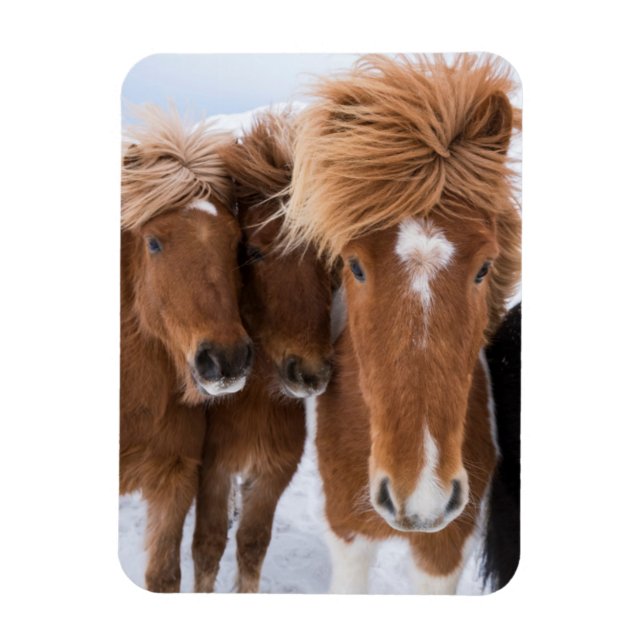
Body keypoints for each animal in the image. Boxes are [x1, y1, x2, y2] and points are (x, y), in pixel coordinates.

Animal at [191, 111, 334, 592]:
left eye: (329, 259)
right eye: (251, 251)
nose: (309, 373)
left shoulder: (274, 472)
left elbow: (252, 545)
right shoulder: (212, 469)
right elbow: (208, 546)